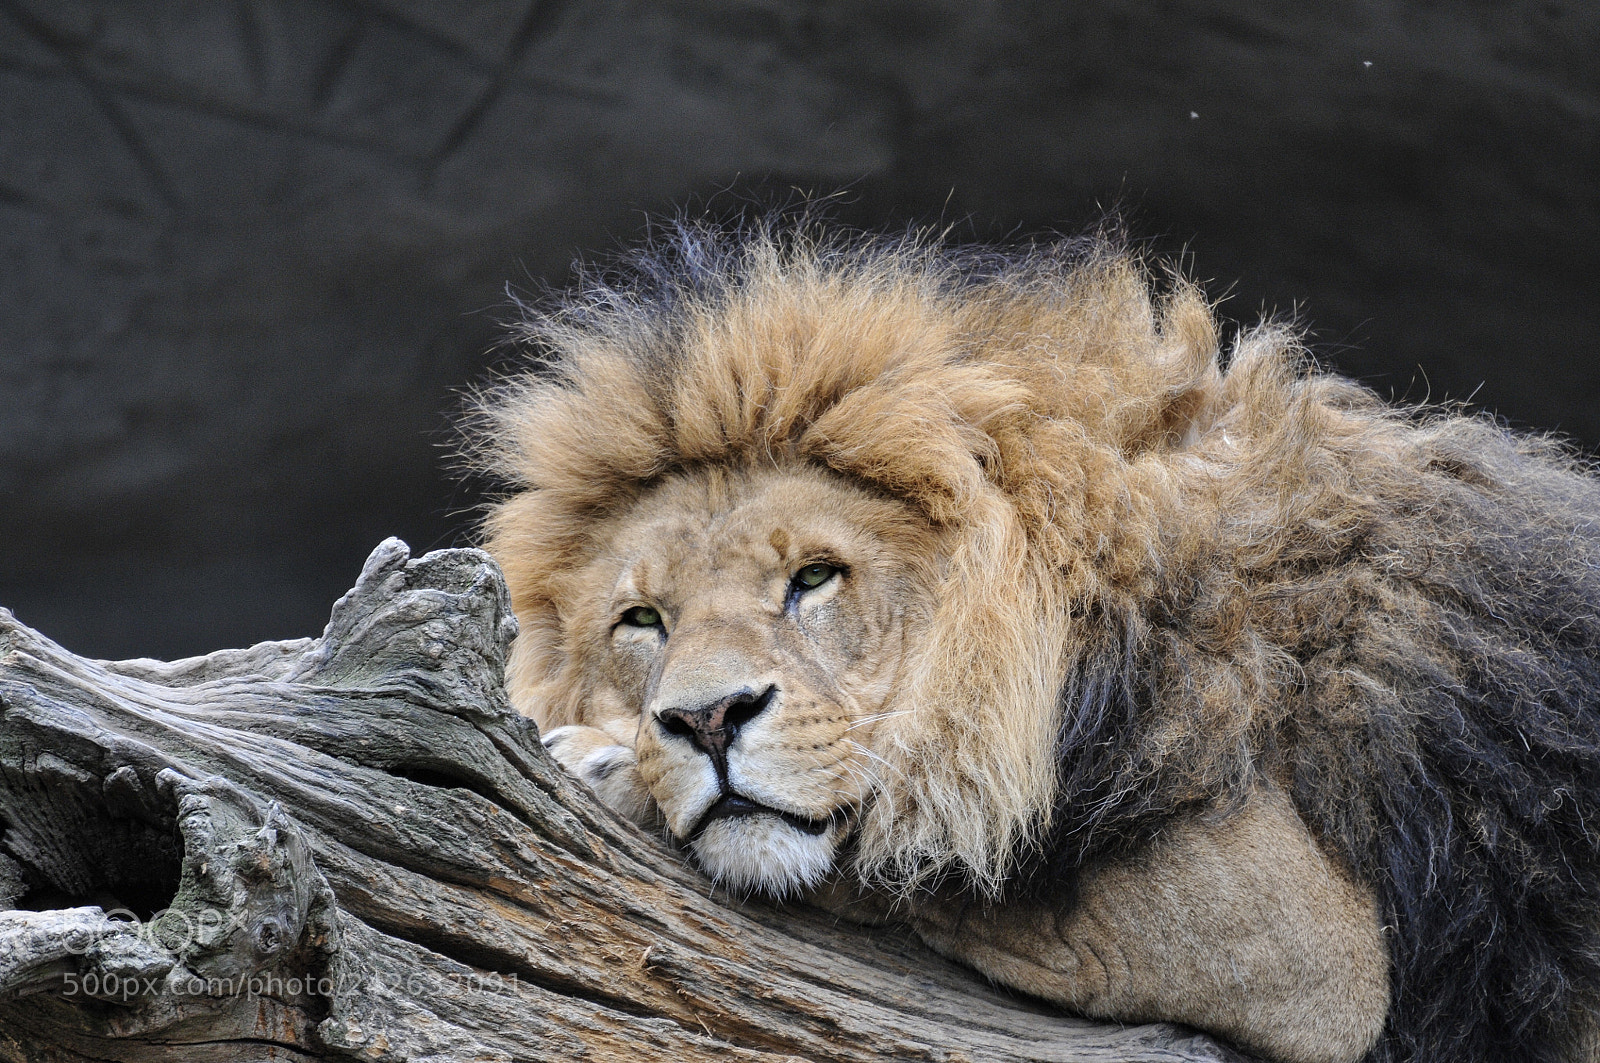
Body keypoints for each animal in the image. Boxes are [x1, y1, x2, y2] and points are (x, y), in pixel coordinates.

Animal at [467, 221, 1600, 1063]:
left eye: (814, 577)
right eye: (641, 620)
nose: (705, 719)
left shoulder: (1309, 939)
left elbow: (912, 857)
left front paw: (605, 765)